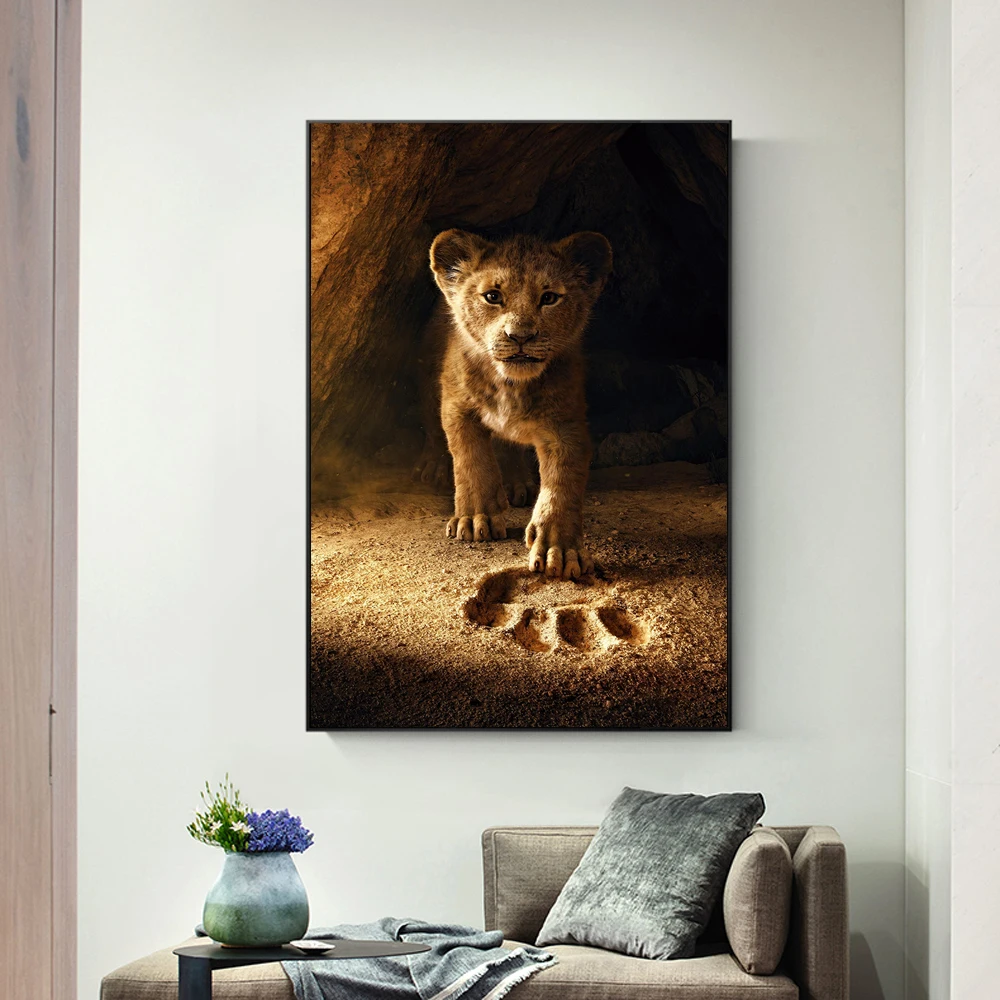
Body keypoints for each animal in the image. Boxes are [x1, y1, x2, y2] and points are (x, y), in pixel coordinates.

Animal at [421, 228, 612, 580]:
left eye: (549, 298)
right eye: (492, 296)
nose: (520, 336)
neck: (511, 385)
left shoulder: (566, 424)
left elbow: (562, 483)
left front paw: (559, 549)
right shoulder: (456, 406)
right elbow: (471, 460)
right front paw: (475, 519)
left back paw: (516, 482)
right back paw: (434, 467)